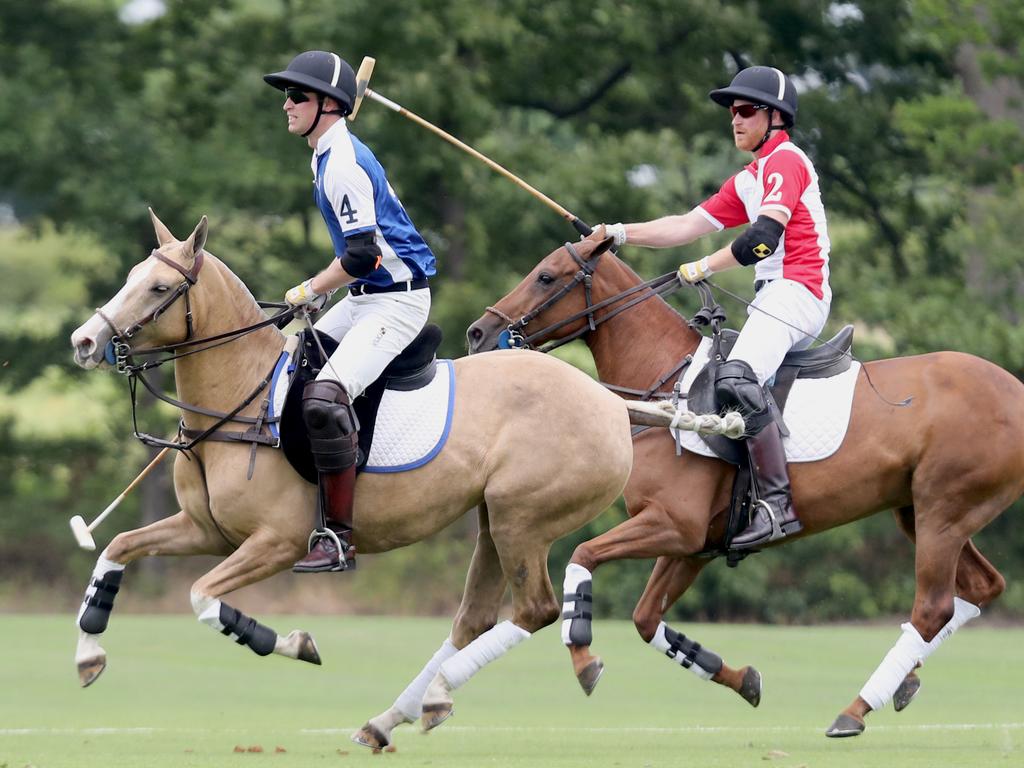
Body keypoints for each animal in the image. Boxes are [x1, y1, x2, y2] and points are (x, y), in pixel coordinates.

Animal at [68, 211, 630, 753]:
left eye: (159, 288)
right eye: (131, 277)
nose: (84, 342)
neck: (243, 400)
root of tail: (611, 403)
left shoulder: (276, 541)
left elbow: (202, 597)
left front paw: (294, 642)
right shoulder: (204, 529)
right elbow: (117, 547)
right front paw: (88, 656)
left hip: (525, 519)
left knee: (535, 609)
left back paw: (440, 694)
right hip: (494, 519)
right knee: (473, 618)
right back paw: (389, 719)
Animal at [466, 236, 1024, 741]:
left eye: (546, 276)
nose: (478, 332)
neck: (665, 388)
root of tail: (1015, 390)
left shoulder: (673, 524)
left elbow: (583, 556)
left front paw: (583, 657)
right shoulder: (694, 544)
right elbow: (646, 619)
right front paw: (742, 679)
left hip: (942, 509)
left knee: (933, 606)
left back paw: (855, 710)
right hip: (921, 510)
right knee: (981, 587)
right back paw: (904, 681)